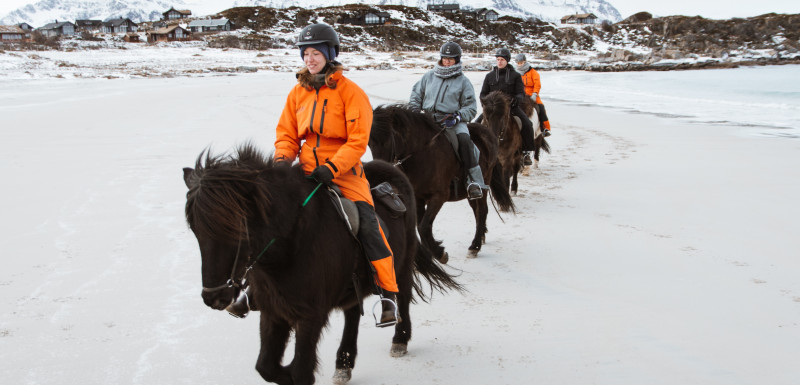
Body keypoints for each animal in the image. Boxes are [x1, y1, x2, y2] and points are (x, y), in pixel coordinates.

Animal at [181, 143, 456, 384]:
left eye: (234, 228)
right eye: (196, 230)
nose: (214, 297)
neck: (292, 242)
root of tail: (393, 171)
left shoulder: (310, 316)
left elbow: (301, 371)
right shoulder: (273, 311)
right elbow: (267, 367)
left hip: (402, 265)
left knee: (403, 296)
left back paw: (399, 338)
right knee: (352, 313)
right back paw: (343, 364)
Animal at [368, 104, 512, 258]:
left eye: (387, 140)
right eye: (369, 142)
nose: (380, 169)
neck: (422, 152)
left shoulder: (439, 196)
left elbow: (424, 226)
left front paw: (439, 253)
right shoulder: (418, 197)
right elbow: (420, 226)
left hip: (484, 183)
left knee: (482, 211)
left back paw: (475, 245)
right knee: (477, 211)